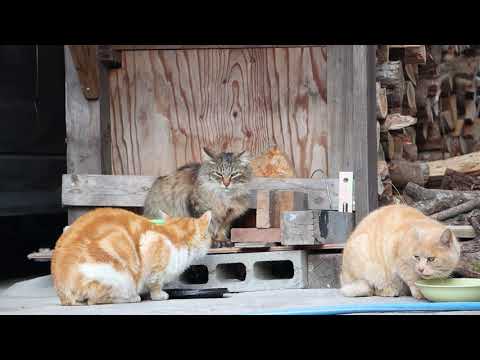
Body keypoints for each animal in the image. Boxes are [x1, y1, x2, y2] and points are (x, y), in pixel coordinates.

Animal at [50, 207, 212, 306]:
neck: (173, 235)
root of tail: (62, 291)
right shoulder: (152, 247)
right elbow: (155, 283)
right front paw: (158, 295)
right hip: (119, 276)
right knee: (94, 299)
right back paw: (132, 297)